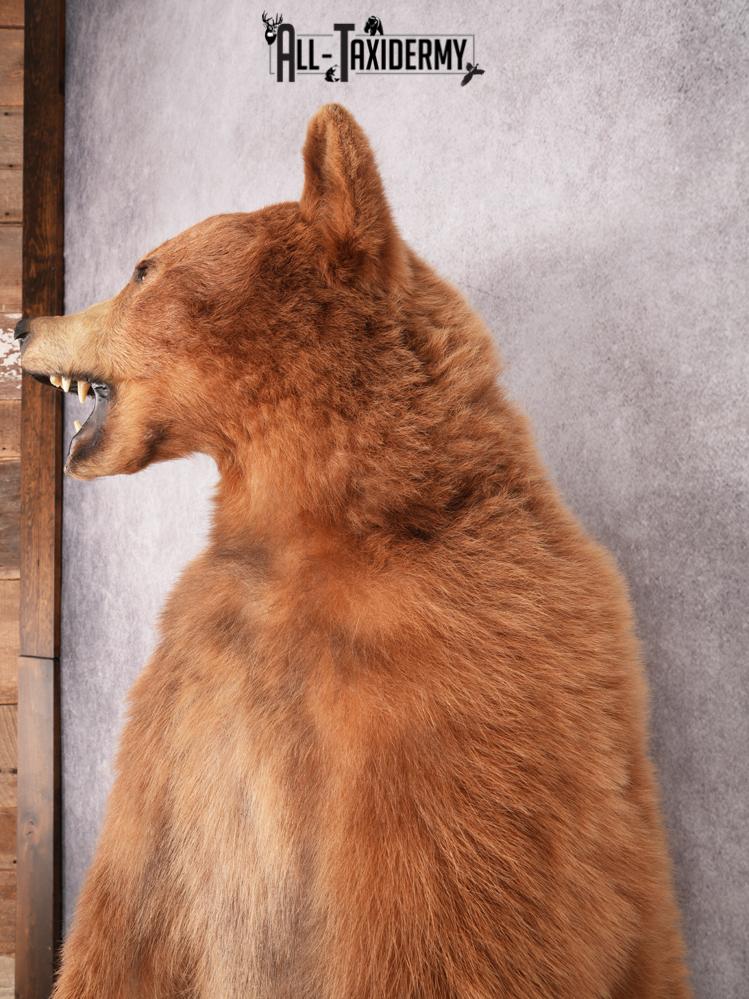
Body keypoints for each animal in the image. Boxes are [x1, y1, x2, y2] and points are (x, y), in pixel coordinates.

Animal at [18, 104, 690, 998]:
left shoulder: (448, 685)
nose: (24, 320)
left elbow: (441, 914)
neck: (317, 521)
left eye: (140, 268)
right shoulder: (190, 685)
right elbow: (132, 914)